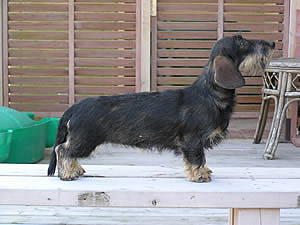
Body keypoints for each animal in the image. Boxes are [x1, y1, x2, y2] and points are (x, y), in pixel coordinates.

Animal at [47, 35, 274, 183]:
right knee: (62, 150)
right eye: (242, 42)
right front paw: (199, 175)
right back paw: (67, 173)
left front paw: (204, 171)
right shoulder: (193, 140)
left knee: (67, 151)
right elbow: (197, 158)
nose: (272, 43)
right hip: (85, 140)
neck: (209, 93)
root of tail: (73, 108)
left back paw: (76, 169)